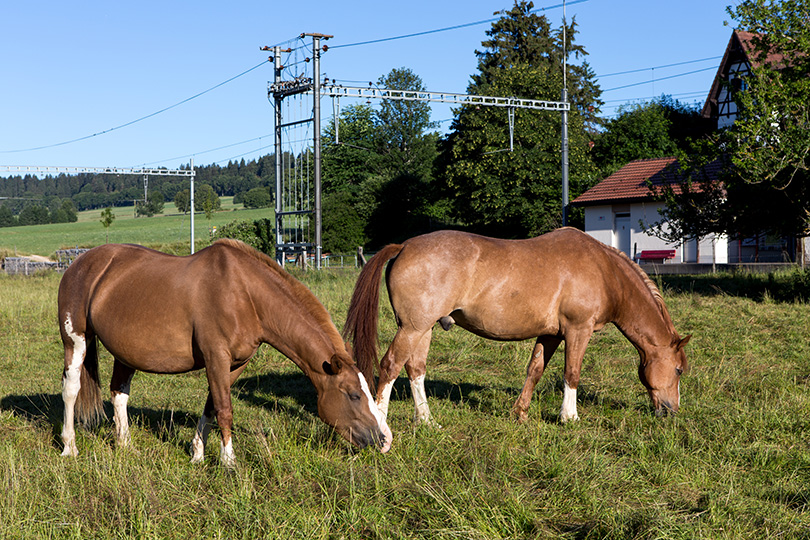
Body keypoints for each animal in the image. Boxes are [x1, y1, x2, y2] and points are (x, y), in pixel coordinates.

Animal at [58, 238, 390, 466]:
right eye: (353, 395)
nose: (384, 440)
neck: (244, 293)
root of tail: (80, 262)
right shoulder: (215, 357)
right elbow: (225, 409)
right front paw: (229, 462)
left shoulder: (235, 363)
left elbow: (211, 405)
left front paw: (198, 453)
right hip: (75, 341)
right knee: (71, 390)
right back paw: (69, 447)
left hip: (125, 353)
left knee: (119, 393)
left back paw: (125, 444)